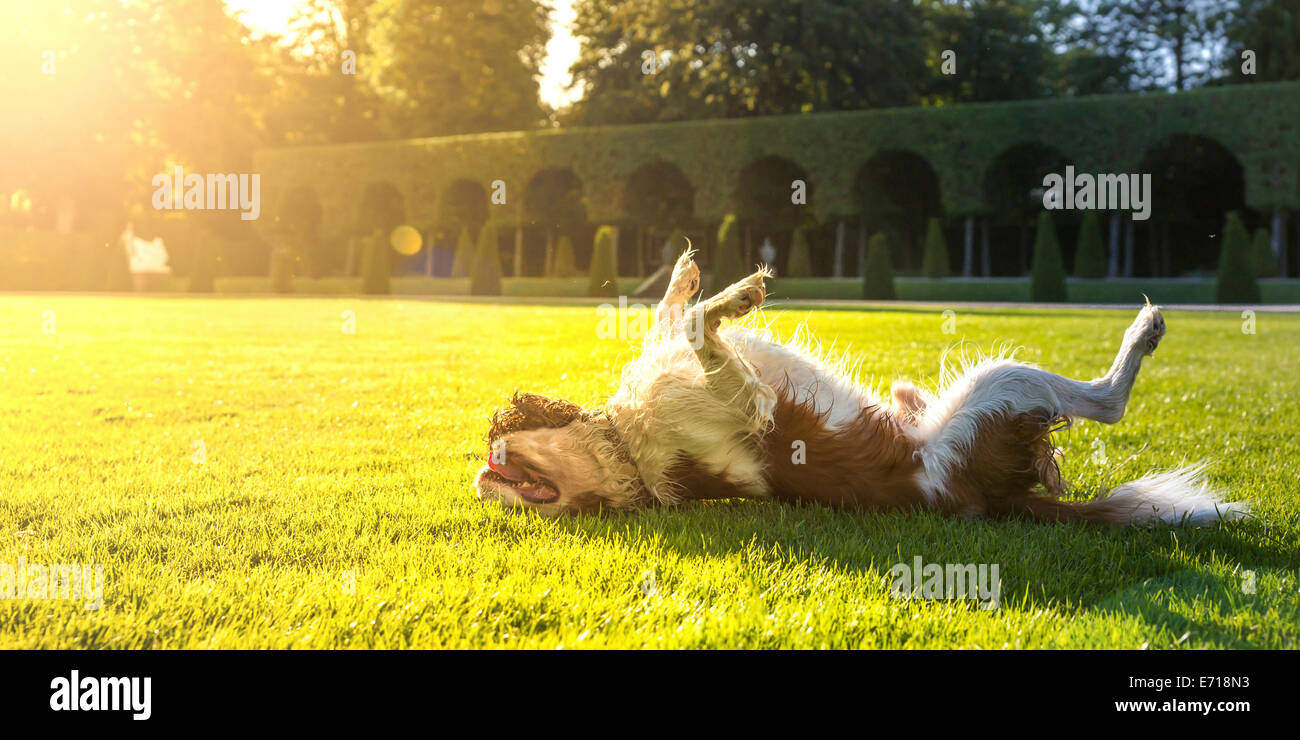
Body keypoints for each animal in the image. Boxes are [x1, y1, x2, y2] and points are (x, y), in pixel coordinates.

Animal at [478, 252, 1248, 525]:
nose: (485, 474)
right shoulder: (745, 406)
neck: (630, 448)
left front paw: (687, 274)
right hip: (993, 388)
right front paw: (736, 294)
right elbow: (701, 325)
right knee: (1107, 403)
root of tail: (998, 498)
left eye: (499, 464)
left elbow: (672, 315)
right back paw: (1145, 331)